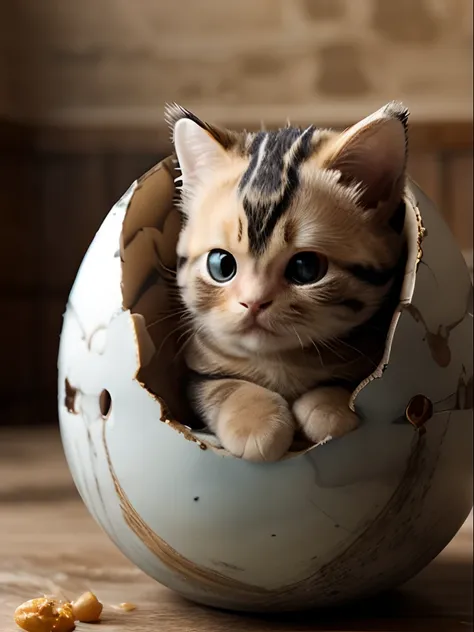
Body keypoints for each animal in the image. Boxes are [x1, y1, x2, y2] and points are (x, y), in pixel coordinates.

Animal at [166, 101, 408, 462]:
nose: (253, 301)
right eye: (221, 265)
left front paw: (329, 408)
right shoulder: (196, 373)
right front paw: (256, 422)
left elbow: (347, 385)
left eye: (306, 268)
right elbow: (224, 385)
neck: (282, 362)